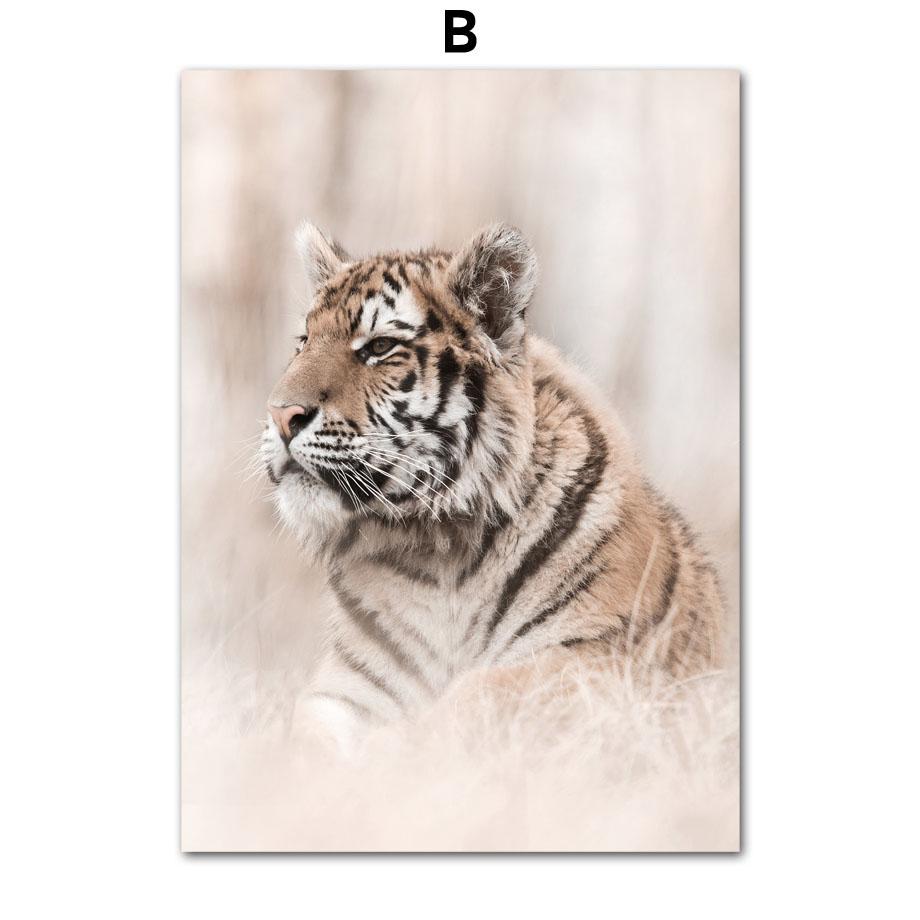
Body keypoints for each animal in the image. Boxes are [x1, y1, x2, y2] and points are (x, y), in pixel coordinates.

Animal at [261, 221, 724, 749]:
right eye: (303, 341)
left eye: (379, 347)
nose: (280, 415)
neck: (433, 551)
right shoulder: (347, 685)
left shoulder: (591, 658)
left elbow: (473, 699)